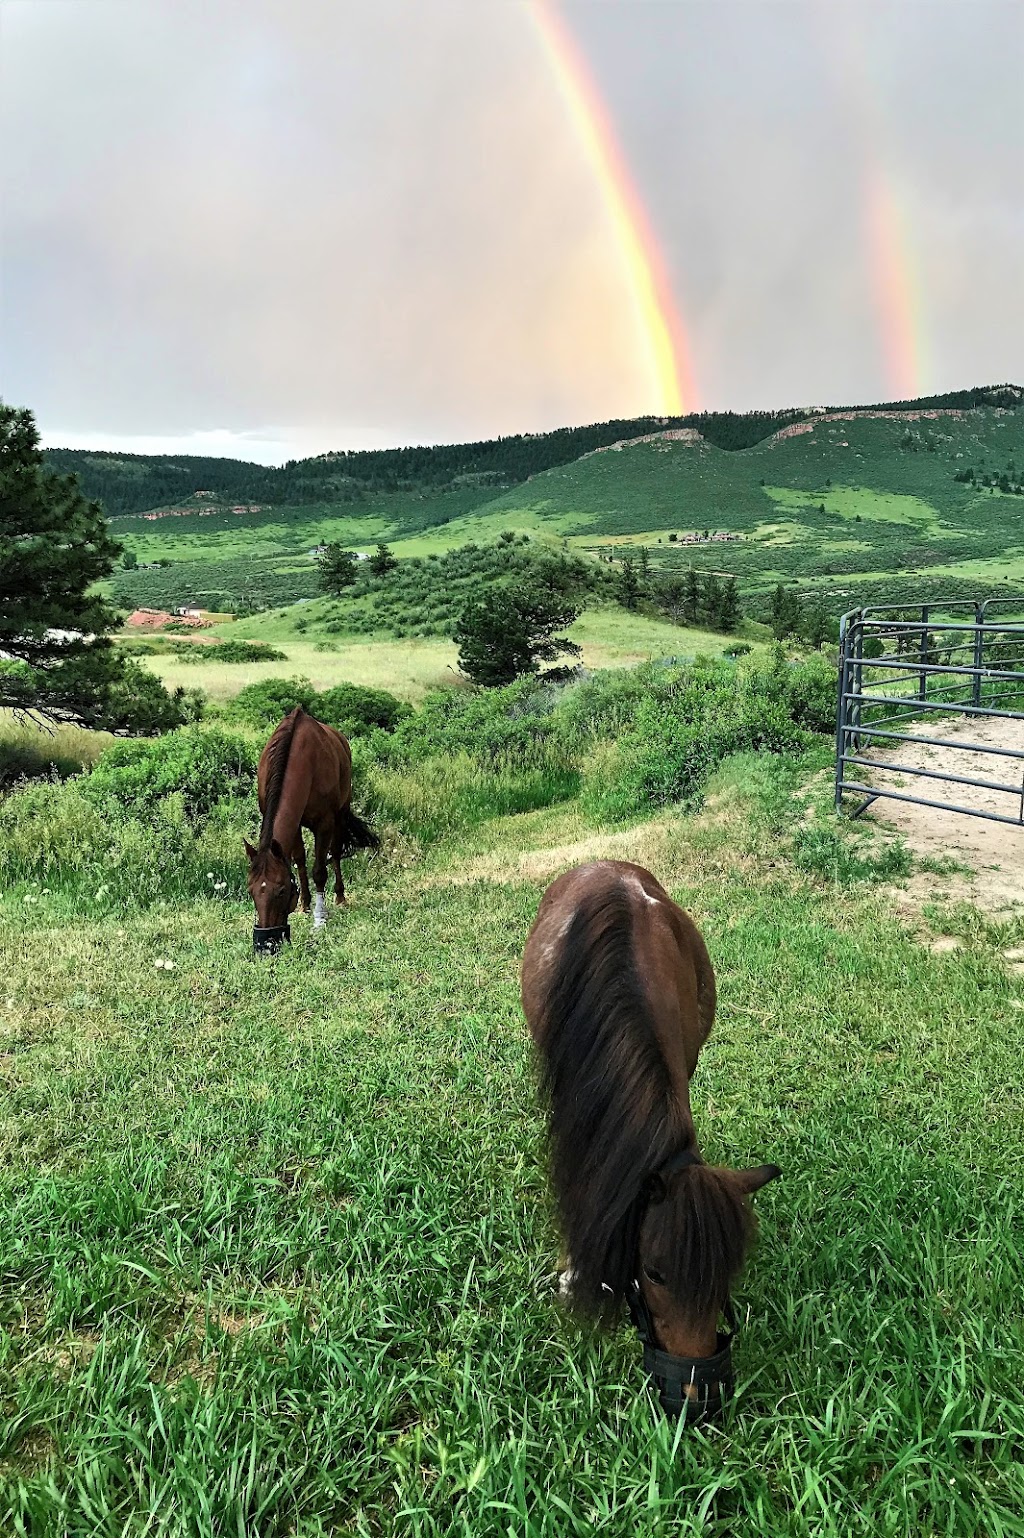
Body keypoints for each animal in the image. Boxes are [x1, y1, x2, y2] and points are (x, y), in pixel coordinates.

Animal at [242, 707, 375, 947]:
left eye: (281, 890)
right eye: (251, 891)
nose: (267, 940)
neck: (301, 761)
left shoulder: (324, 824)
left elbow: (319, 871)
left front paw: (319, 919)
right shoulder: (294, 825)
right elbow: (299, 861)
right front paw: (304, 904)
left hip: (340, 815)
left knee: (336, 854)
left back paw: (340, 897)